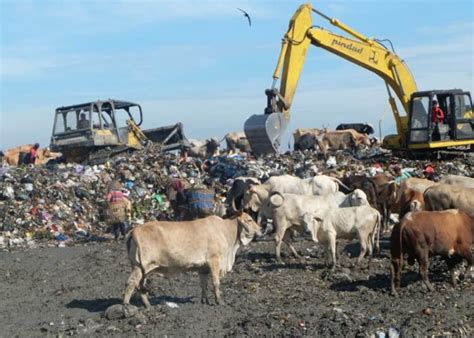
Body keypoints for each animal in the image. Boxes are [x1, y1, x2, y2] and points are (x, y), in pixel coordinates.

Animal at [122, 213, 262, 308]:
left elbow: (203, 284)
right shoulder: (214, 260)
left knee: (139, 285)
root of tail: (135, 230)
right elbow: (215, 282)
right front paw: (219, 301)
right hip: (139, 267)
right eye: (249, 219)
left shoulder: (203, 268)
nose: (261, 229)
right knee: (131, 283)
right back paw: (126, 306)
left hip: (143, 268)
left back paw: (147, 305)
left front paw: (204, 301)